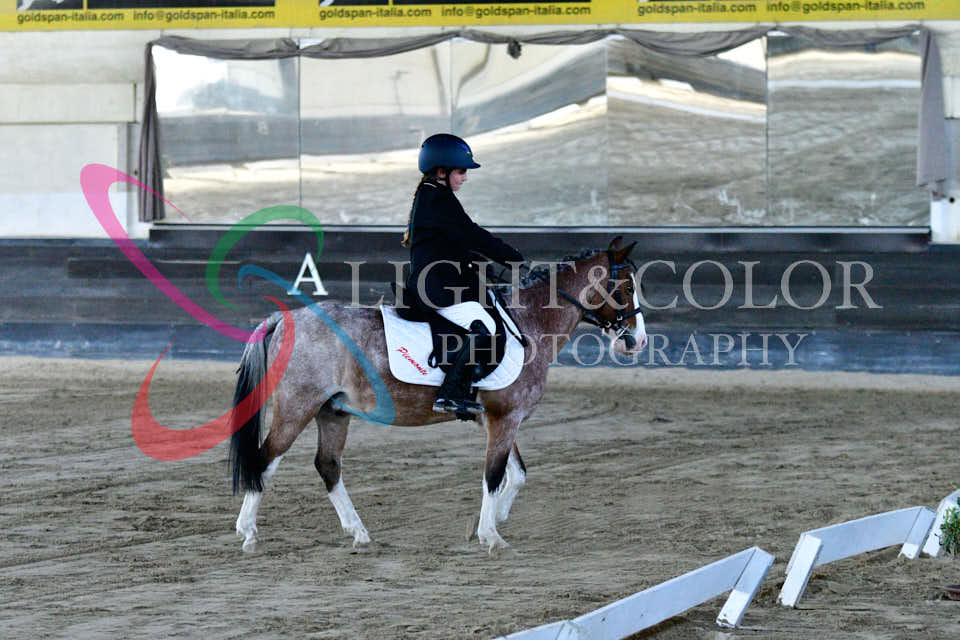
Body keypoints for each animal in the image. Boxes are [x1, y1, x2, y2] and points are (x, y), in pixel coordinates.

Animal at [230, 237, 646, 553]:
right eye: (626, 288)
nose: (637, 341)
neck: (528, 323)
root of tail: (287, 318)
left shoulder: (497, 418)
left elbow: (517, 474)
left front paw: (492, 519)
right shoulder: (505, 418)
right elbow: (494, 475)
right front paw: (491, 536)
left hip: (333, 411)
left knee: (328, 465)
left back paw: (358, 533)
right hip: (297, 407)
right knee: (266, 459)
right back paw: (248, 533)